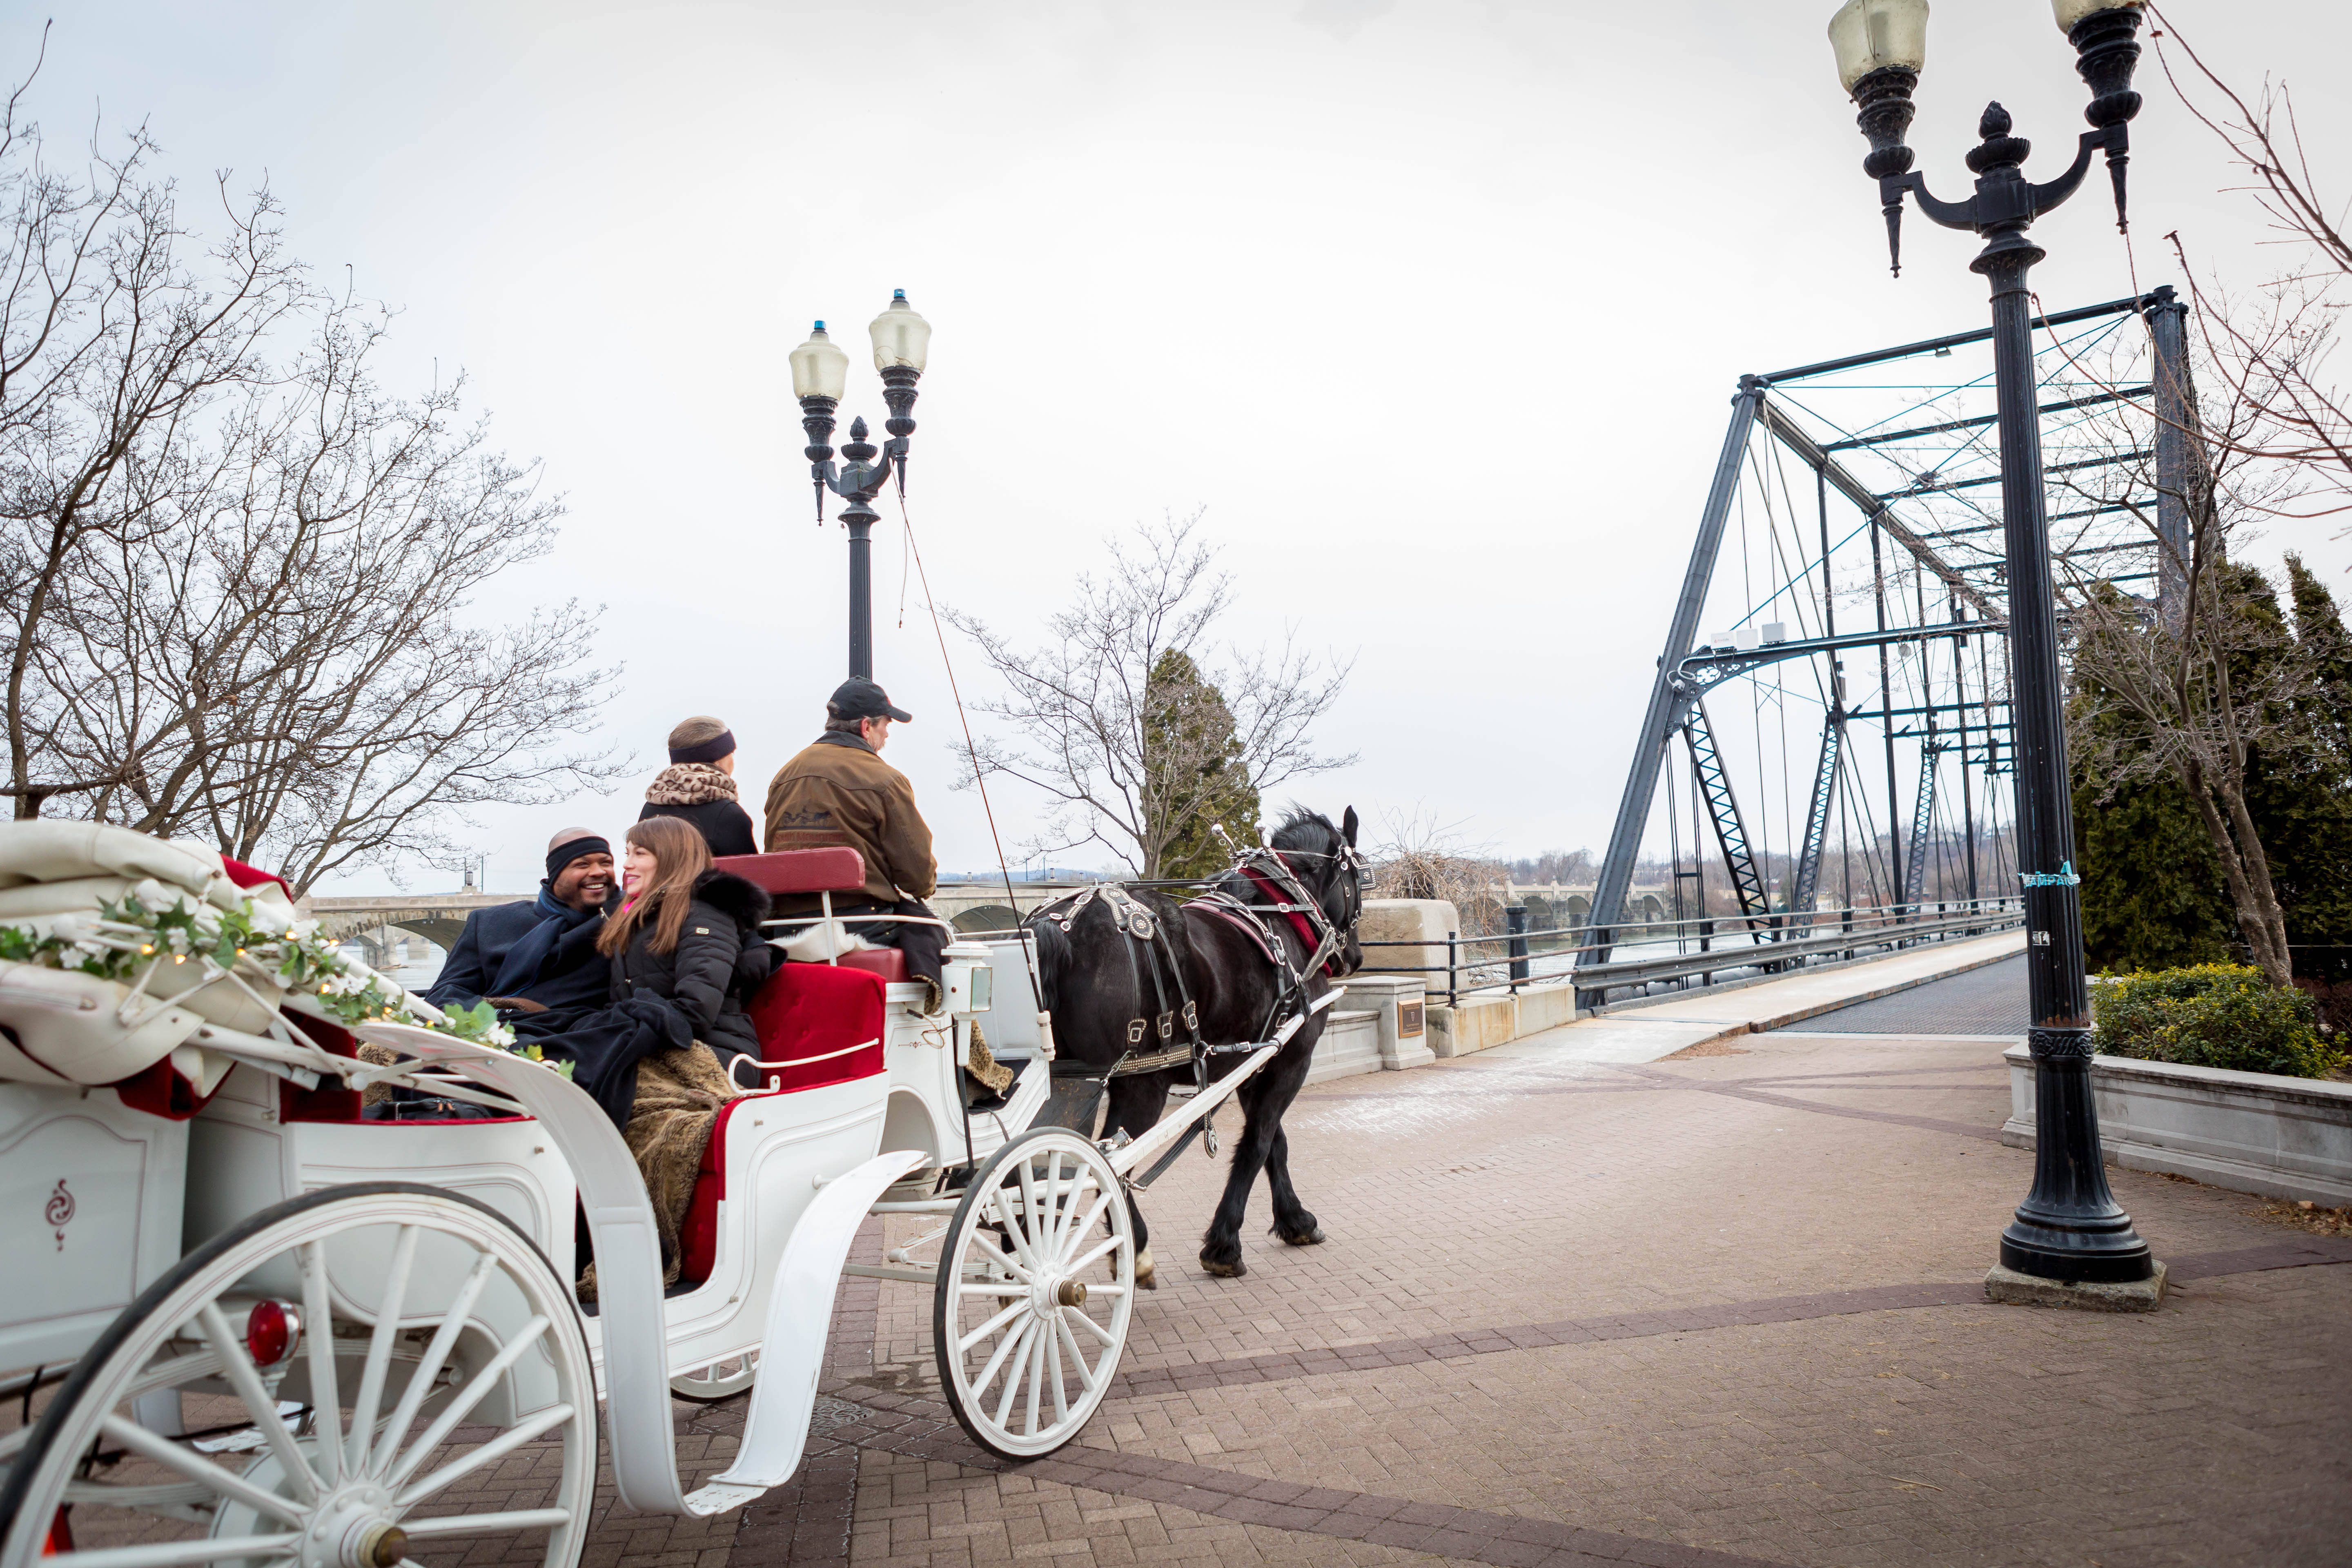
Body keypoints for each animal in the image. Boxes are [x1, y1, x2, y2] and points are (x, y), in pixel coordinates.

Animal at [1025, 808, 1364, 1288]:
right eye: (1361, 876)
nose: (1353, 957)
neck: (1281, 915)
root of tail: (1060, 928)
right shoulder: (1290, 1060)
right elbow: (1259, 1142)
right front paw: (1224, 1245)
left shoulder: (1252, 1062)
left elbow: (1274, 1143)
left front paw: (1294, 1219)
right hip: (1139, 1083)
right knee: (1110, 1164)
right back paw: (1133, 1251)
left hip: (1063, 1083)